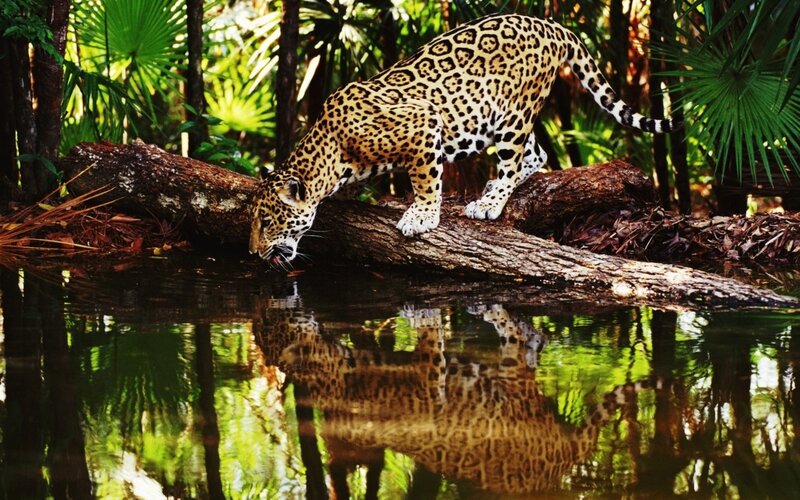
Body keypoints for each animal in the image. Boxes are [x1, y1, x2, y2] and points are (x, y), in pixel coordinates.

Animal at [249, 12, 682, 265]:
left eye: (268, 221)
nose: (254, 252)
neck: (331, 151)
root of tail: (550, 24)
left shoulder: (424, 122)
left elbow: (426, 179)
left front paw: (421, 215)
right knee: (537, 152)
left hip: (512, 113)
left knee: (515, 157)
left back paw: (489, 202)